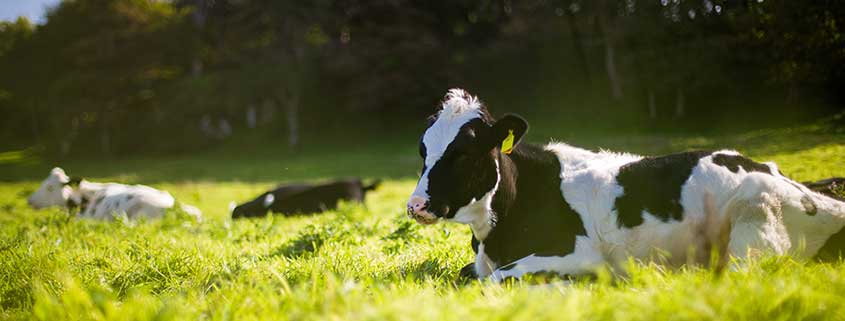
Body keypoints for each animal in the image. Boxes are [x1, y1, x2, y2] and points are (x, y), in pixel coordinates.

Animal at [406, 87, 844, 280]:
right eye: (423, 149)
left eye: (465, 152)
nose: (416, 205)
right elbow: (469, 274)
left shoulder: (579, 253)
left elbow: (498, 278)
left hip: (752, 229)